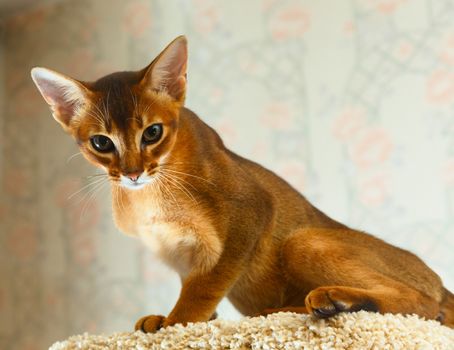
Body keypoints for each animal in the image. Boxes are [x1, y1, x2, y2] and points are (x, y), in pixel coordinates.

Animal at [30, 35, 452, 330]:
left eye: (152, 133)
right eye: (101, 143)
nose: (133, 172)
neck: (150, 195)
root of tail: (440, 283)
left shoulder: (249, 211)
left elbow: (203, 288)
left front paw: (177, 323)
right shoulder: (179, 254)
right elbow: (194, 285)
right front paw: (169, 319)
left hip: (304, 239)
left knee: (423, 304)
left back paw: (328, 302)